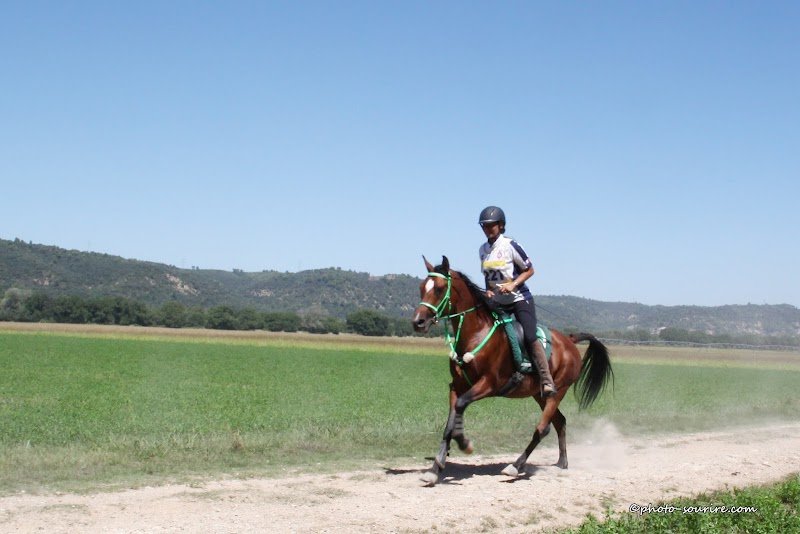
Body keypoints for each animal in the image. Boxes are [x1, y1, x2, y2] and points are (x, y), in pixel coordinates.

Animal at [411, 256, 613, 486]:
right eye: (421, 287)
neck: (475, 334)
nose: (418, 322)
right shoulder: (457, 386)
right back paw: (562, 463)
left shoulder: (488, 384)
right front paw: (435, 469)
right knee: (560, 422)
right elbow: (449, 425)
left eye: (439, 288)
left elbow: (461, 406)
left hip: (558, 390)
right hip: (539, 394)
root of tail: (570, 340)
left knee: (542, 428)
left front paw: (465, 443)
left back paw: (515, 466)